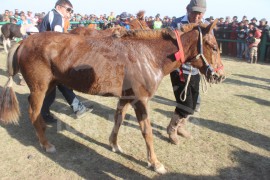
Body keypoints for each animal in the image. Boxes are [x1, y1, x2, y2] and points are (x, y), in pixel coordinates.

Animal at [0, 20, 224, 174]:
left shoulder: (126, 98)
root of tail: (25, 41)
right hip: (39, 88)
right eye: (213, 47)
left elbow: (118, 119)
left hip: (50, 85)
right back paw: (46, 144)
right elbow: (147, 133)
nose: (220, 75)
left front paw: (114, 144)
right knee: (33, 112)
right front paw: (155, 163)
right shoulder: (141, 101)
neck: (147, 55)